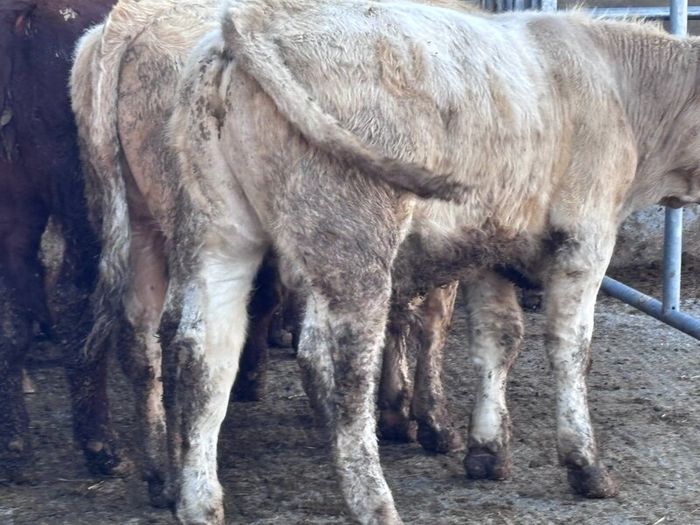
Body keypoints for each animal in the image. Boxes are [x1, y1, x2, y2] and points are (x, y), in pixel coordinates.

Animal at [0, 0, 129, 483]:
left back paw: (15, 449)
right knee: (78, 302)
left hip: (16, 205)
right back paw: (102, 447)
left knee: (12, 313)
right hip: (84, 195)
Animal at [152, 0, 700, 523]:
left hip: (219, 232)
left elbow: (498, 341)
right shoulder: (585, 240)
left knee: (205, 353)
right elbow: (570, 349)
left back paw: (199, 502)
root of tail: (253, 18)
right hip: (352, 246)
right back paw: (374, 503)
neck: (620, 87)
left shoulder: (491, 249)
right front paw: (586, 466)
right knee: (338, 364)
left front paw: (487, 452)